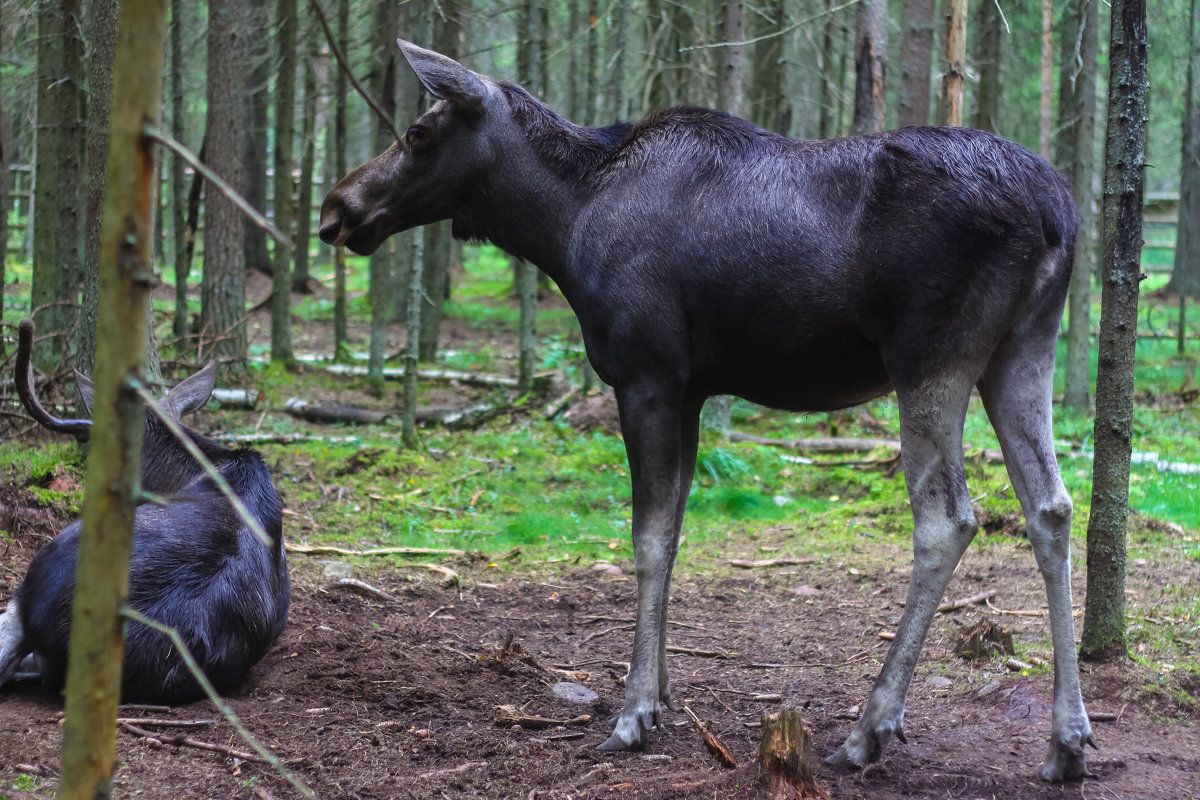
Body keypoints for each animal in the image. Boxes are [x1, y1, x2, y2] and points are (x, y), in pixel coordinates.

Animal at [321, 43, 1099, 782]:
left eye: (418, 132)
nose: (336, 208)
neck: (561, 224)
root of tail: (1058, 212)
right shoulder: (690, 389)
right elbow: (674, 531)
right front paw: (660, 693)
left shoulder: (647, 376)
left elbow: (646, 538)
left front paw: (634, 712)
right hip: (1023, 349)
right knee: (1051, 505)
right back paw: (1067, 740)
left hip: (930, 356)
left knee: (949, 519)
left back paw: (870, 728)